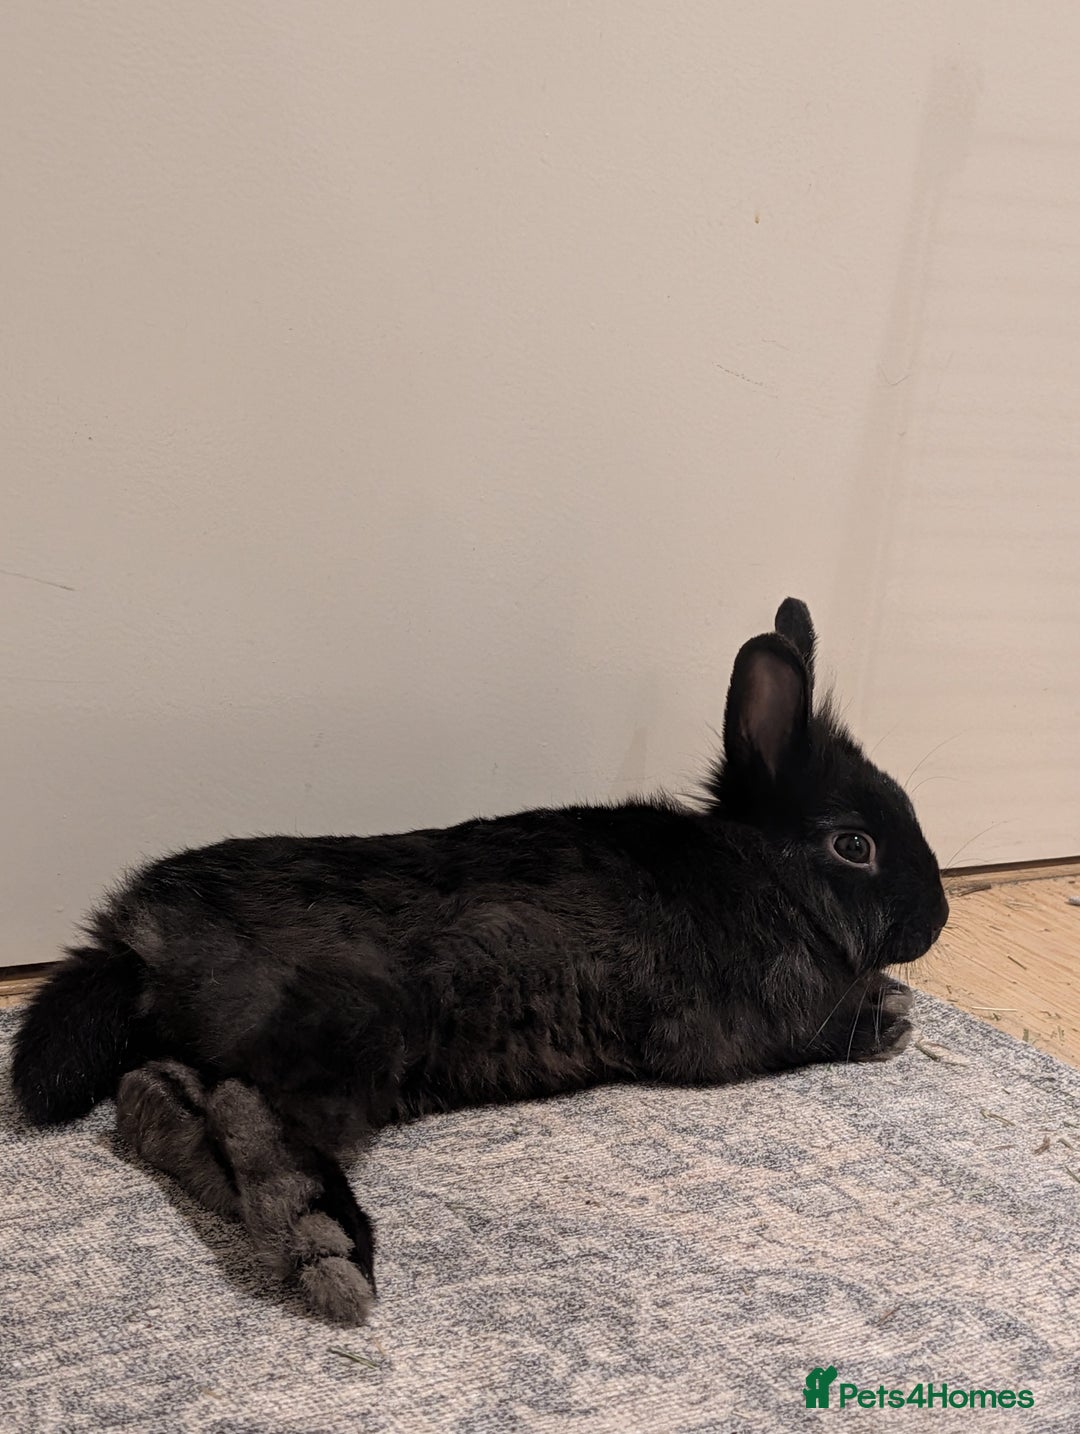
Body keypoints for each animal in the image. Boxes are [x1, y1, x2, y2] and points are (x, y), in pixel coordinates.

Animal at [12, 597, 949, 1326]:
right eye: (855, 845)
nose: (937, 918)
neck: (764, 870)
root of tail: (136, 930)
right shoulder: (741, 1029)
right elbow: (822, 1030)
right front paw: (891, 1017)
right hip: (353, 1027)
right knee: (259, 1116)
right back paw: (324, 1248)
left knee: (163, 1092)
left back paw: (175, 1135)